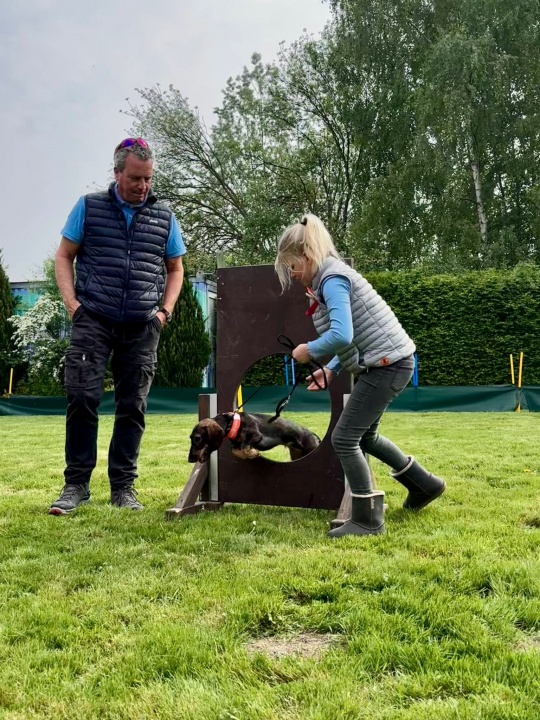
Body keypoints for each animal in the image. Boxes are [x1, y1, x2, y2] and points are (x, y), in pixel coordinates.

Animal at [188, 411, 320, 464]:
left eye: (197, 438)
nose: (190, 460)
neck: (233, 423)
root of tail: (313, 435)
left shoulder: (257, 436)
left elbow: (245, 446)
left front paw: (253, 453)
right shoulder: (235, 445)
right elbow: (235, 450)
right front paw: (248, 454)